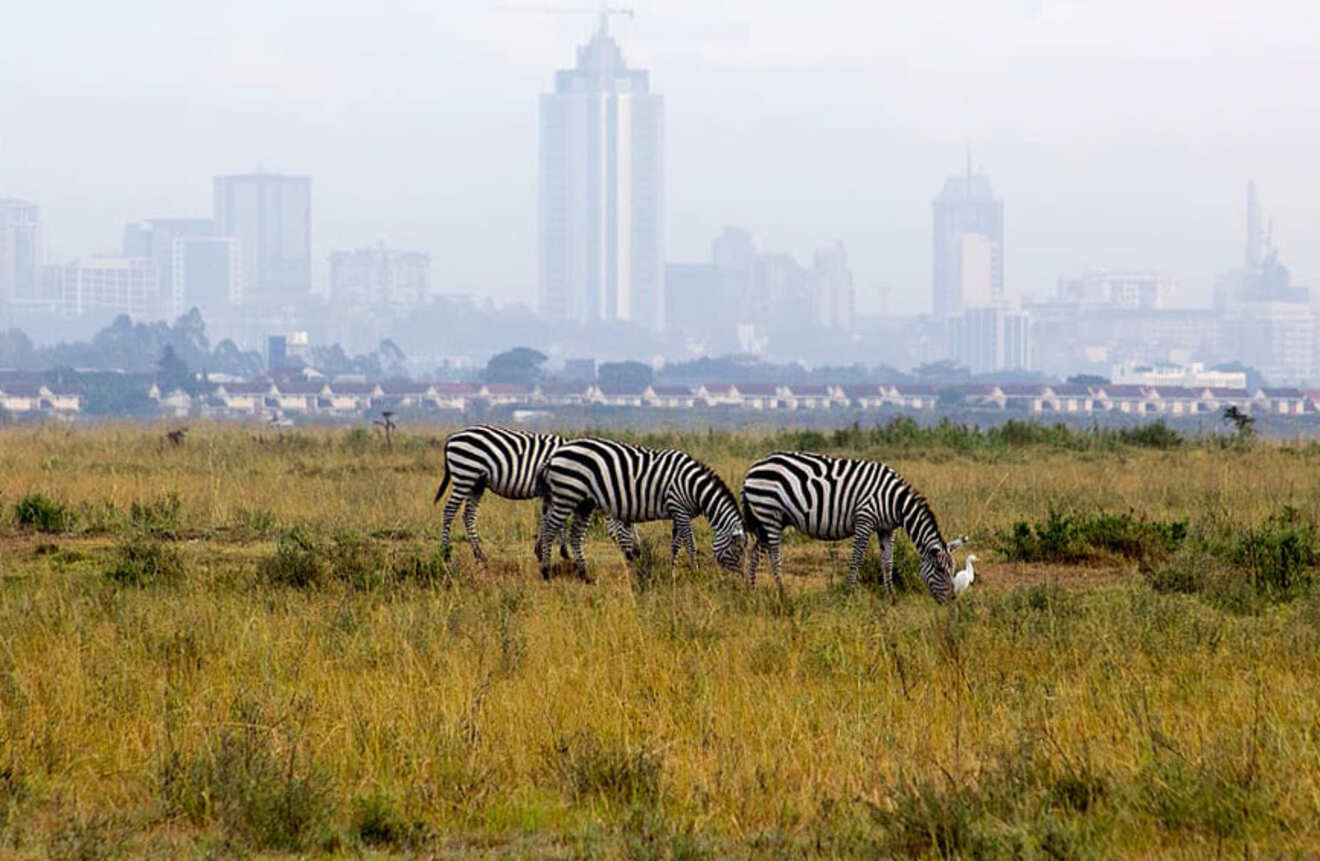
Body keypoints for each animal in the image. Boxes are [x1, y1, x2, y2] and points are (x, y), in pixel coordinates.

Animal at [432, 425, 633, 562]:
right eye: (627, 525)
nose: (635, 554)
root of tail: (453, 436)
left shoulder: (554, 493)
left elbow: (548, 519)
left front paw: (543, 550)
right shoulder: (561, 490)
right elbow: (556, 521)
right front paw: (560, 551)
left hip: (476, 483)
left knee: (468, 515)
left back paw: (479, 554)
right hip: (465, 475)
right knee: (449, 510)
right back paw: (445, 553)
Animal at [533, 438, 744, 586]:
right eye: (738, 551)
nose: (741, 578)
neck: (693, 486)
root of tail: (554, 456)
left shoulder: (677, 513)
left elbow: (676, 544)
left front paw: (672, 572)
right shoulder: (680, 510)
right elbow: (691, 544)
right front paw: (696, 571)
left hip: (584, 502)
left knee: (575, 535)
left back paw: (584, 575)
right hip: (566, 495)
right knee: (551, 530)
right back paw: (546, 571)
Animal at [744, 451, 960, 604]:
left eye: (952, 569)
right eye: (940, 570)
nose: (952, 600)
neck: (896, 502)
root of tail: (753, 467)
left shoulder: (887, 529)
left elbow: (888, 562)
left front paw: (891, 597)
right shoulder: (864, 520)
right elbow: (856, 559)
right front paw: (850, 593)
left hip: (770, 521)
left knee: (754, 555)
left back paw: (752, 591)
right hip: (770, 515)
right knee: (774, 557)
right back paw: (782, 594)